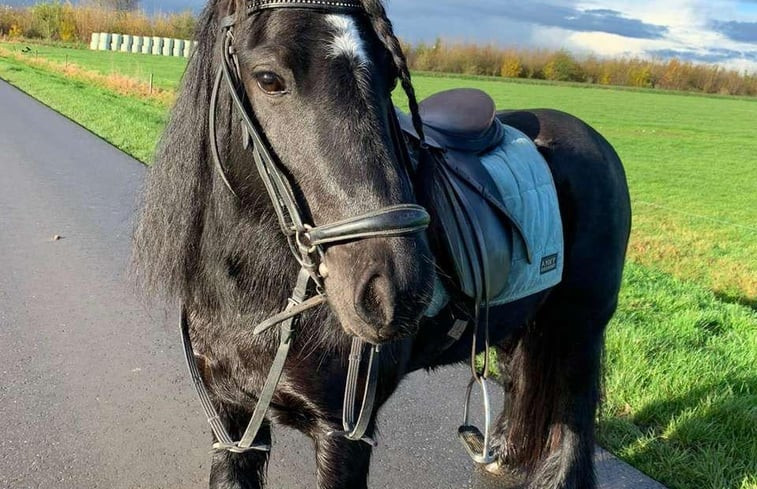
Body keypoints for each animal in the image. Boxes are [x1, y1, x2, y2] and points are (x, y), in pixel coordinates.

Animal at [131, 0, 632, 488]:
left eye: (390, 77)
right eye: (268, 78)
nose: (397, 289)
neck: (250, 294)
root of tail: (594, 140)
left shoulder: (344, 434)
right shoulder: (232, 422)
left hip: (579, 332)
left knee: (572, 426)